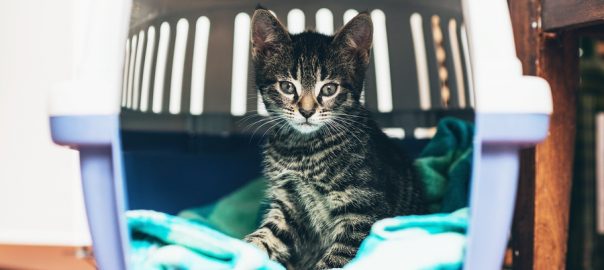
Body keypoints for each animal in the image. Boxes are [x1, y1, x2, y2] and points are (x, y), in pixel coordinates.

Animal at [245, 8, 424, 270]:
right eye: (287, 87)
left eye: (329, 89)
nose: (307, 111)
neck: (303, 150)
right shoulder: (288, 205)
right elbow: (268, 235)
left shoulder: (363, 213)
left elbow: (335, 259)